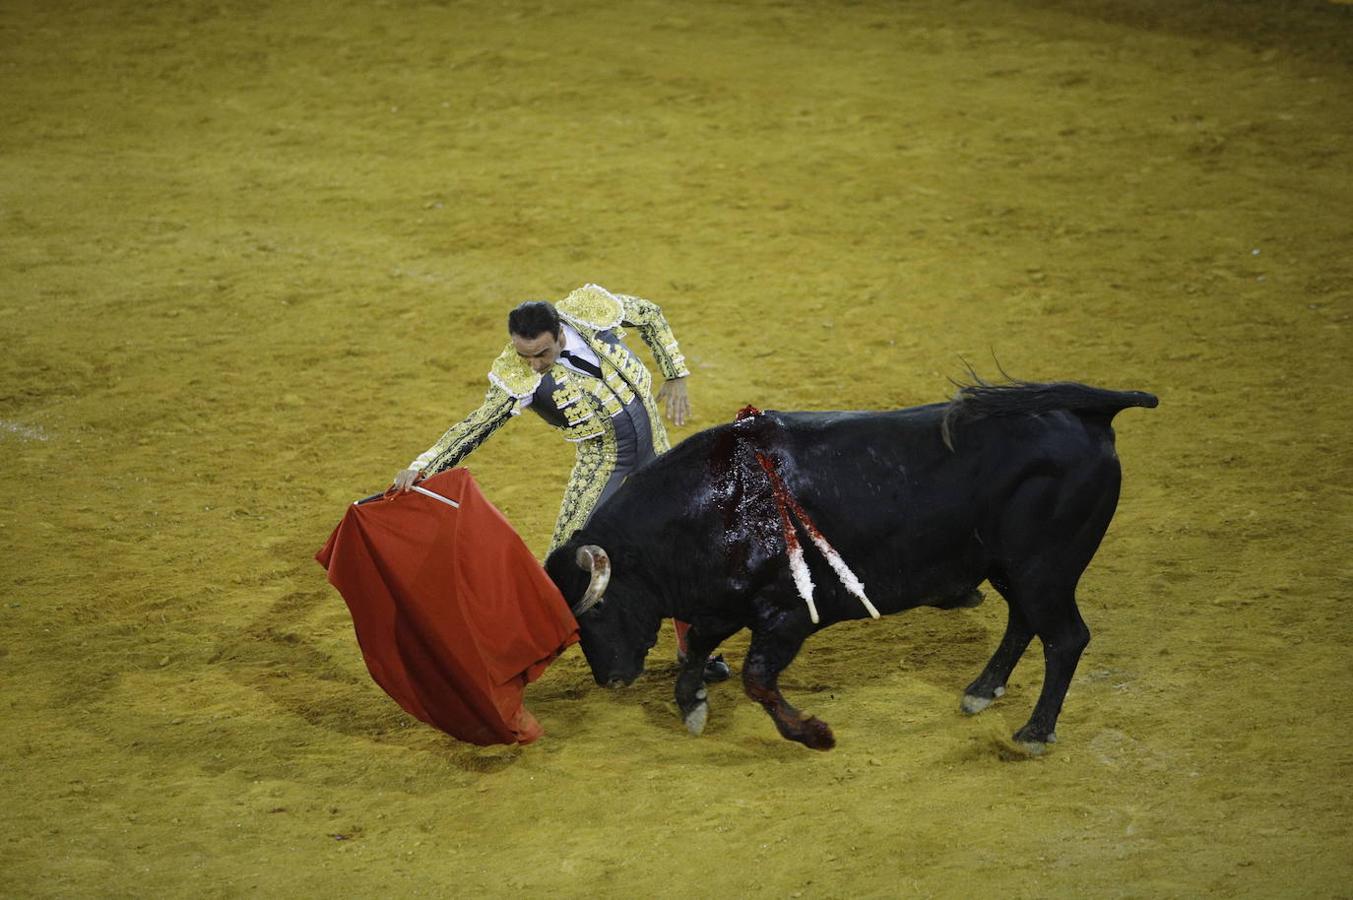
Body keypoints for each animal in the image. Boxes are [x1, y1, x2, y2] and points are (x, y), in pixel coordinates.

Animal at [543, 378, 1158, 752]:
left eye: (594, 615)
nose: (612, 680)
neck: (722, 503)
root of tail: (1090, 416)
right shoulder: (723, 606)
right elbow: (696, 646)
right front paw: (692, 704)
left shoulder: (787, 617)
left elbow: (756, 678)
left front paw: (814, 733)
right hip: (1010, 568)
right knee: (1026, 623)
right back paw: (983, 690)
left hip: (1044, 568)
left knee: (1066, 638)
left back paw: (1033, 731)